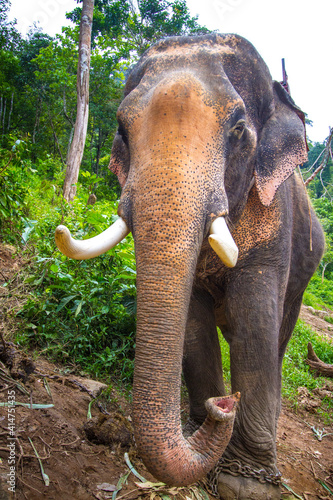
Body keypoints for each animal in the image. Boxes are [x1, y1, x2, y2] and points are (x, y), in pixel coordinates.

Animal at [55, 35, 324, 500]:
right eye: (121, 130)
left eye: (238, 128)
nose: (225, 405)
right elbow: (194, 323)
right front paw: (206, 441)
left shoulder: (275, 220)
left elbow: (255, 320)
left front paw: (246, 483)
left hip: (305, 275)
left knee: (279, 333)